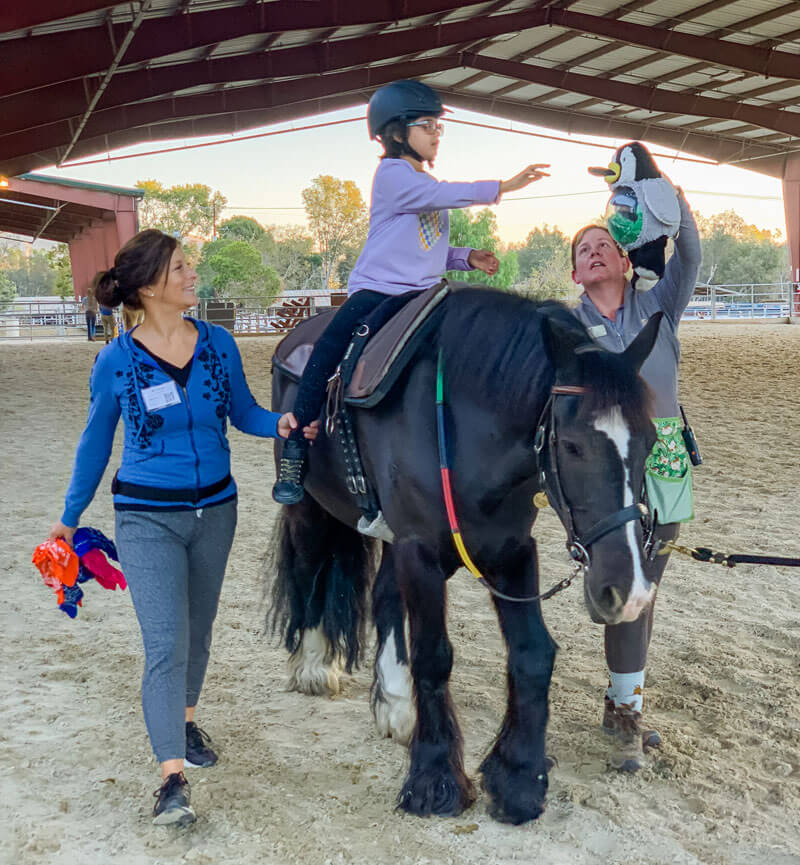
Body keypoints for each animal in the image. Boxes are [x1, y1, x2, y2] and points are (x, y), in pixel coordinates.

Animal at [268, 287, 661, 825]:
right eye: (572, 445)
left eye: (651, 441)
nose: (629, 593)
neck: (465, 431)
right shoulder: (420, 551)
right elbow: (434, 657)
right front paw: (435, 781)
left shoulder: (510, 551)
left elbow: (533, 654)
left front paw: (518, 779)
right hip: (310, 506)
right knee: (309, 568)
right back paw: (313, 667)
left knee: (383, 596)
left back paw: (396, 706)